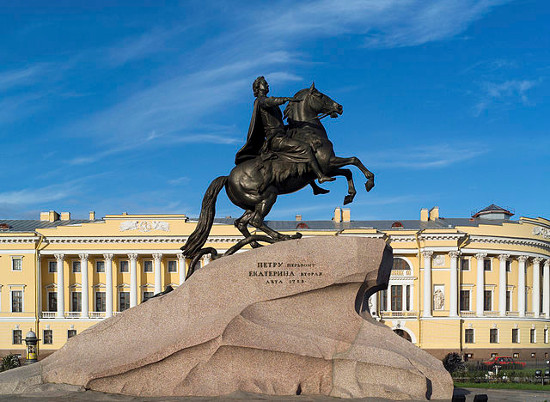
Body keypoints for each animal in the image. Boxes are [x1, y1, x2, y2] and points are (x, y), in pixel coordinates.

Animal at [183, 83, 378, 274]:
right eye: (320, 95)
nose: (339, 107)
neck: (309, 133)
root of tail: (228, 177)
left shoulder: (329, 166)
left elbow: (348, 171)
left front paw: (350, 195)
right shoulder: (327, 164)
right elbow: (354, 161)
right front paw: (369, 181)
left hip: (252, 203)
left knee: (241, 223)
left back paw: (257, 243)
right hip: (267, 196)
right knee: (255, 221)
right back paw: (282, 236)